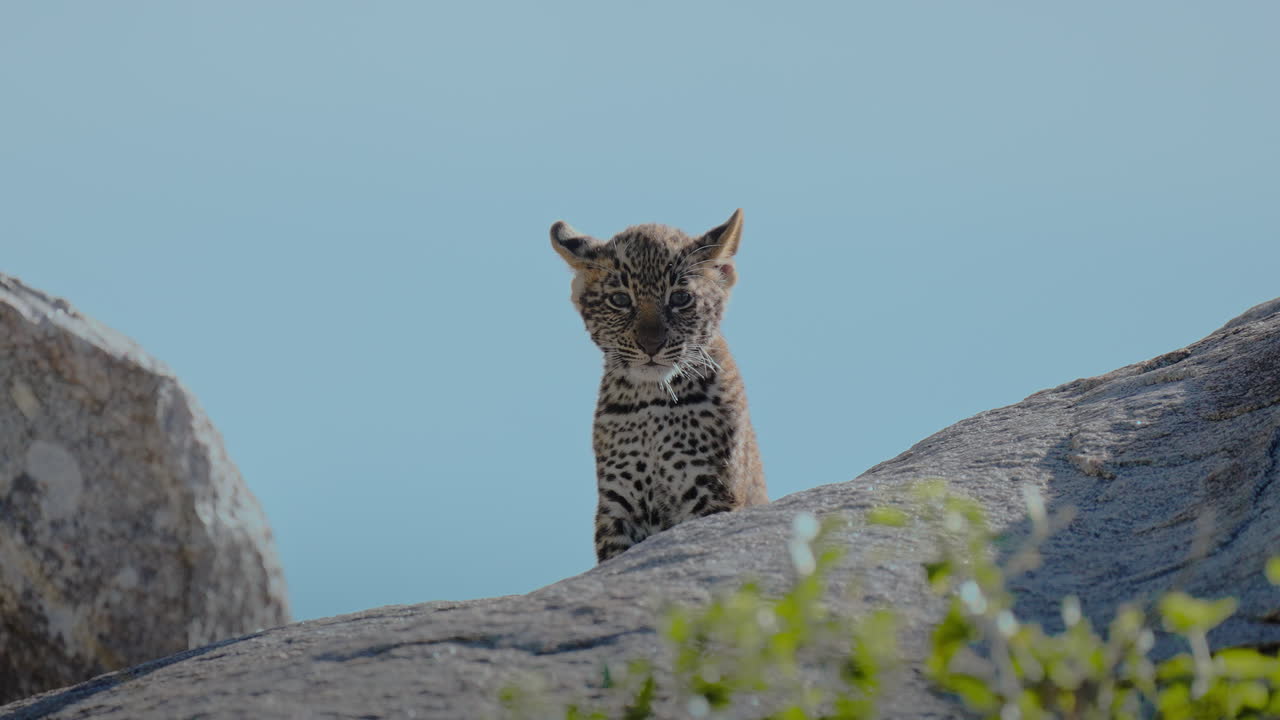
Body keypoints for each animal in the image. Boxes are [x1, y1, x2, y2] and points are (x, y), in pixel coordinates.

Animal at [550, 209, 768, 563]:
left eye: (680, 298)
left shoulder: (711, 492)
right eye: (620, 299)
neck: (651, 400)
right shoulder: (617, 505)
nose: (651, 345)